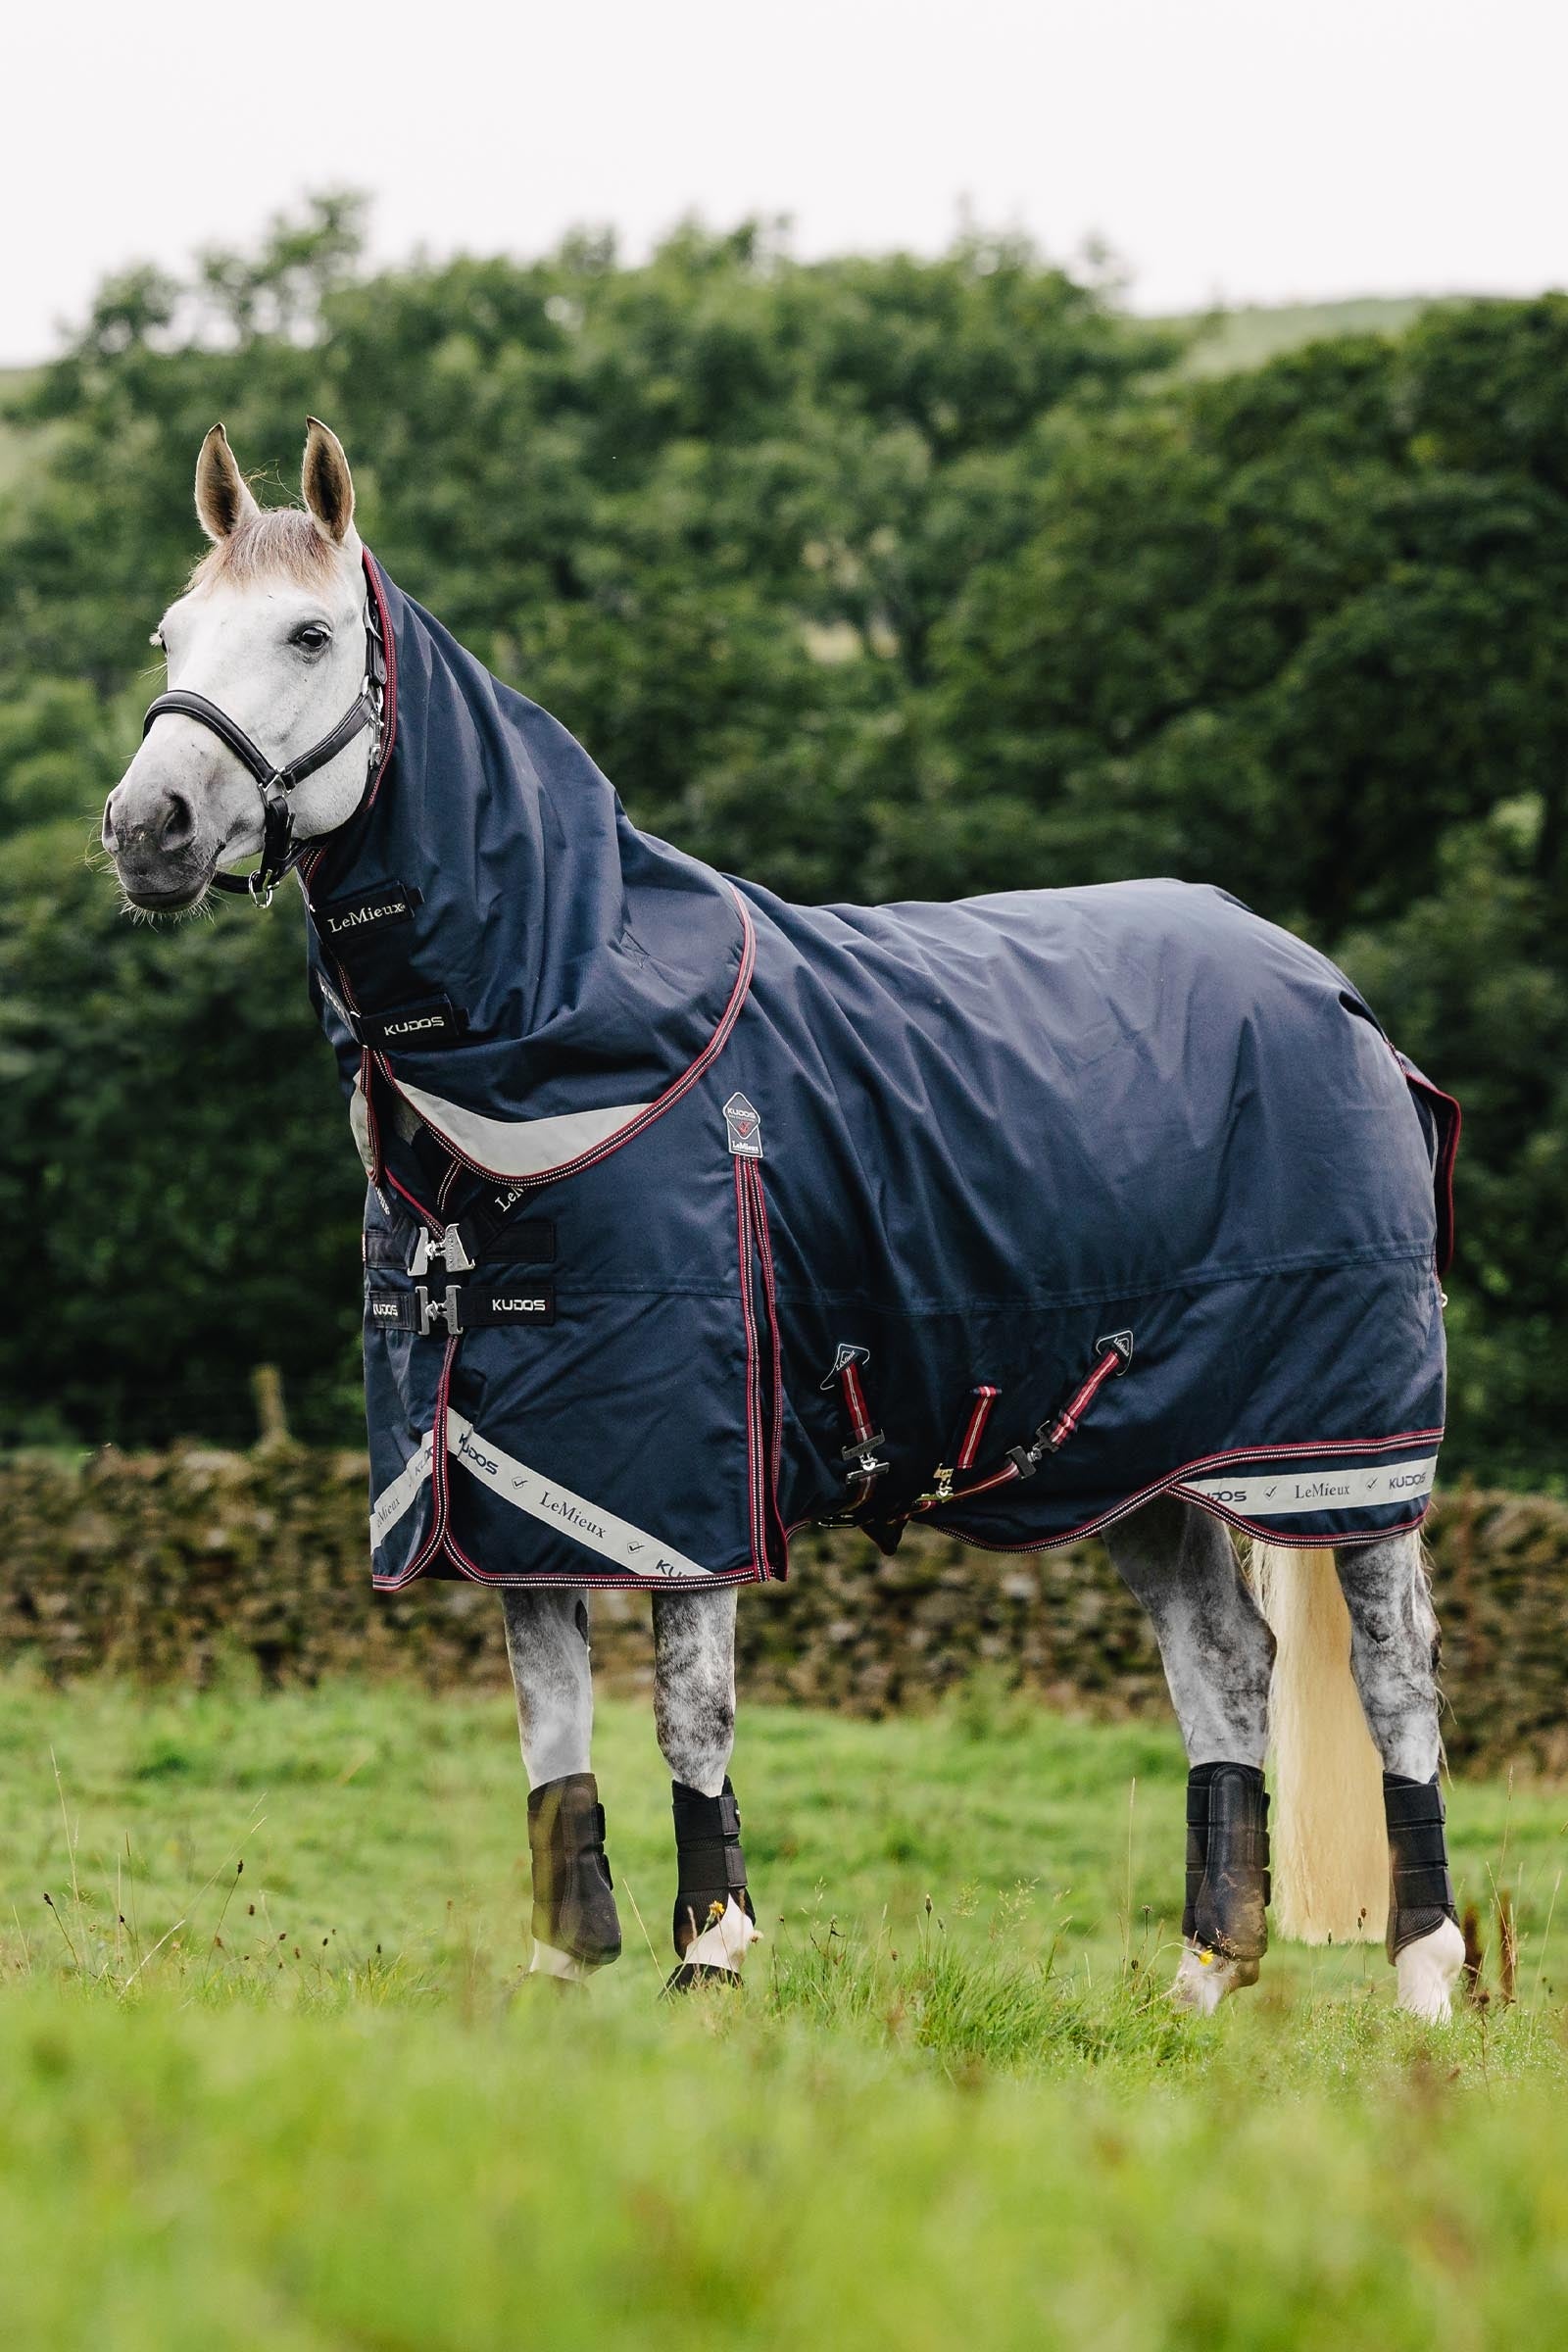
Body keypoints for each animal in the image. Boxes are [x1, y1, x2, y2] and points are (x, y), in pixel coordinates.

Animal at [102, 419, 1467, 2019]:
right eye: (172, 635)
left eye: (310, 634)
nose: (146, 828)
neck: (569, 1033)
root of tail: (1338, 997)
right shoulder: (496, 1474)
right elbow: (548, 1721)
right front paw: (564, 1966)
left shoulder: (684, 1474)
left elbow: (689, 1711)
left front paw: (712, 1952)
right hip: (1137, 1453)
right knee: (1225, 1664)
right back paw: (1203, 1982)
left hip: (1341, 1452)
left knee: (1394, 1674)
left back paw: (1426, 1977)